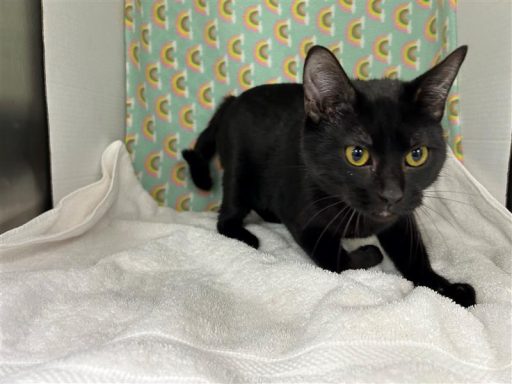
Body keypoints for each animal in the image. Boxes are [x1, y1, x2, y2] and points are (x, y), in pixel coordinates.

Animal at [184, 45, 476, 308]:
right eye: (356, 154)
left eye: (417, 155)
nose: (392, 194)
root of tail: (233, 100)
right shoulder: (305, 223)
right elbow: (337, 261)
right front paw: (370, 253)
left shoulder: (399, 218)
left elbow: (413, 255)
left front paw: (447, 289)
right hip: (238, 168)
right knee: (228, 214)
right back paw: (245, 236)